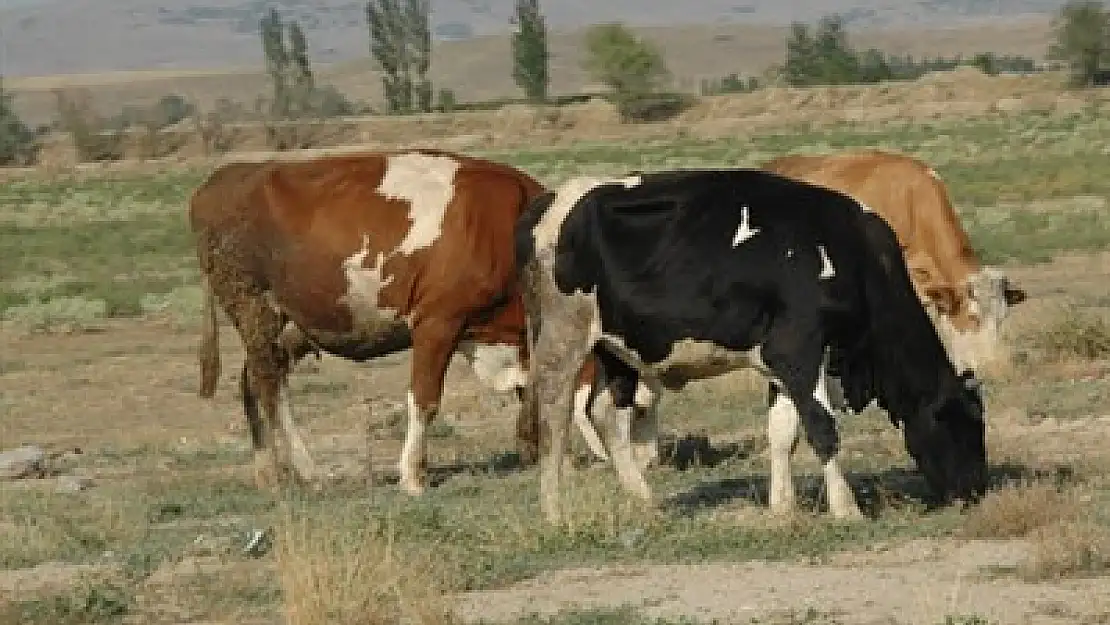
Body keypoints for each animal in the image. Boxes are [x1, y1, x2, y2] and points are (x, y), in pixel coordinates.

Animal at [189, 149, 612, 495]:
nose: (618, 456)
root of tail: (222, 178)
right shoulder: (437, 322)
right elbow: (425, 399)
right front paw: (412, 476)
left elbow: (538, 394)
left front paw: (557, 459)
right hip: (254, 306)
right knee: (269, 386)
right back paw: (306, 471)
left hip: (283, 327)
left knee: (252, 382)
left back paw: (268, 473)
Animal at [515, 169, 994, 523]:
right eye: (969, 427)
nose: (976, 492)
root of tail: (552, 200)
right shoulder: (798, 349)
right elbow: (823, 429)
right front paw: (846, 509)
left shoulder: (781, 363)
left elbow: (783, 433)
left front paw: (782, 507)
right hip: (563, 338)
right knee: (554, 416)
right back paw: (554, 513)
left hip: (616, 349)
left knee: (607, 415)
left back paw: (644, 501)